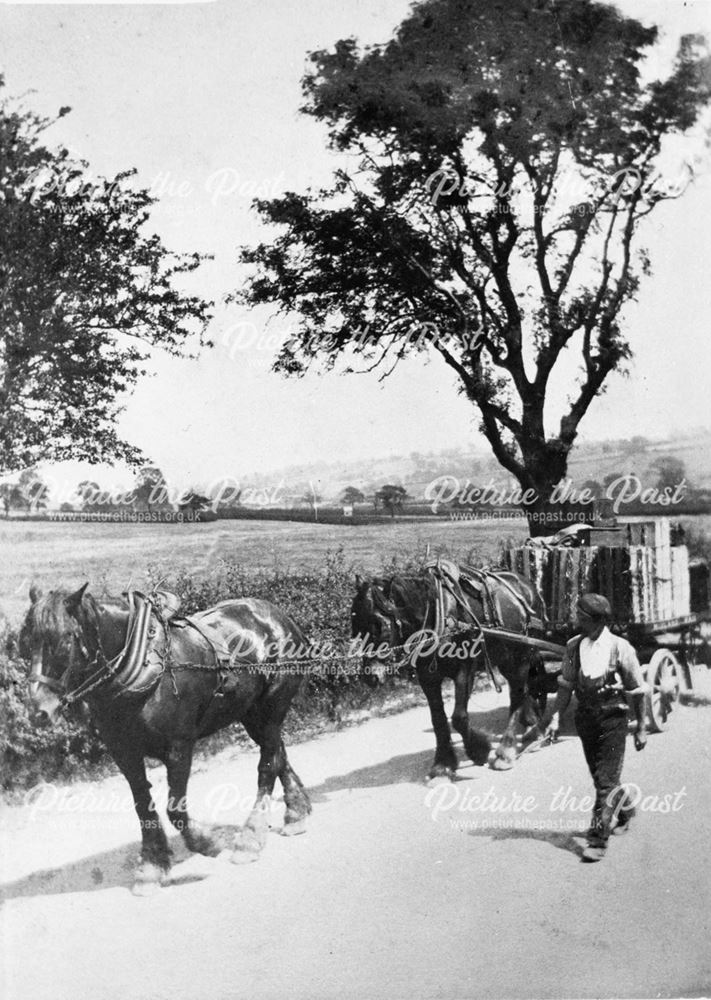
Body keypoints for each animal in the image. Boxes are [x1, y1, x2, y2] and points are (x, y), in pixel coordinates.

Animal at [20, 584, 312, 896]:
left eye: (64, 640)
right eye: (26, 642)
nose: (38, 711)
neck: (143, 664)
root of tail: (281, 618)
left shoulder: (179, 747)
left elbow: (175, 809)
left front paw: (206, 841)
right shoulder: (124, 753)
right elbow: (142, 805)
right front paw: (152, 865)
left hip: (271, 706)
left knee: (267, 764)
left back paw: (250, 839)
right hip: (251, 712)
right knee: (277, 752)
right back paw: (297, 812)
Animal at [350, 568, 552, 776]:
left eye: (379, 625)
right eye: (354, 623)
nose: (370, 677)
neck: (438, 616)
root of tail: (528, 586)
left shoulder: (465, 671)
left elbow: (459, 718)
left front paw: (478, 750)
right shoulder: (427, 678)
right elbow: (438, 720)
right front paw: (442, 763)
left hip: (522, 655)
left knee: (517, 695)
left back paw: (506, 750)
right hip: (506, 659)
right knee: (524, 689)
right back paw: (532, 727)